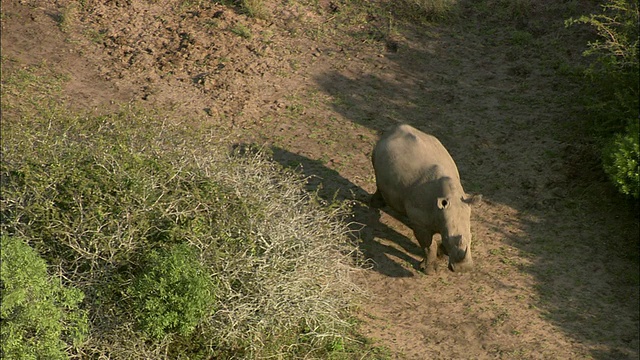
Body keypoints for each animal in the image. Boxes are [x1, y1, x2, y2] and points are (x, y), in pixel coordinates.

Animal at [370, 124, 480, 272]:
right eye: (447, 238)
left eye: (471, 237)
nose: (464, 269)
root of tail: (395, 128)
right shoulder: (420, 223)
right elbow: (428, 245)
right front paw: (429, 270)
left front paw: (441, 254)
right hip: (377, 148)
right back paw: (376, 204)